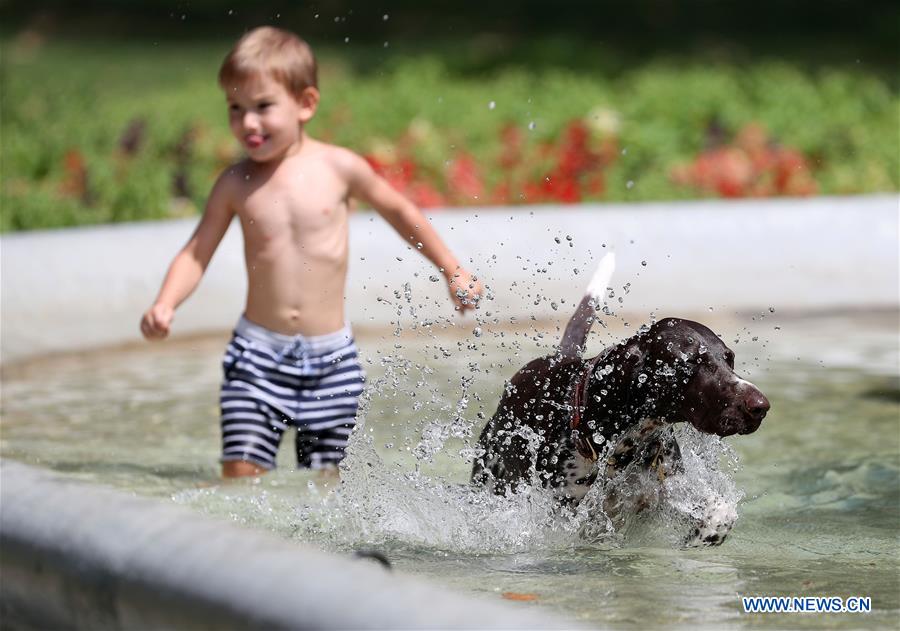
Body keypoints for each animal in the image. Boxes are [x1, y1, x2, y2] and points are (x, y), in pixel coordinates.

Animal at [468, 254, 768, 544]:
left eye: (729, 359)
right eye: (689, 364)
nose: (761, 407)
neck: (622, 445)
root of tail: (559, 356)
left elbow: (722, 511)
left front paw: (701, 537)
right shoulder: (562, 515)